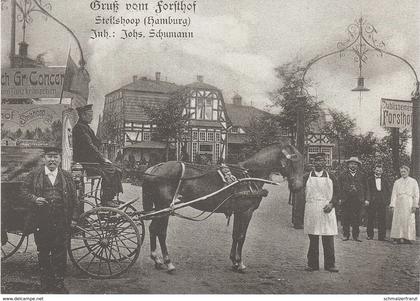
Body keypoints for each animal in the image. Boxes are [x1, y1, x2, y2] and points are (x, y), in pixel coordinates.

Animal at [143, 141, 304, 272]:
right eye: (294, 159)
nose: (298, 187)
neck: (249, 176)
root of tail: (155, 168)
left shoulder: (238, 212)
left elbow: (235, 235)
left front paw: (234, 261)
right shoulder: (246, 212)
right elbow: (242, 236)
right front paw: (240, 263)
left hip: (159, 208)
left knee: (152, 229)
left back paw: (157, 259)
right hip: (164, 207)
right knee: (161, 232)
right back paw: (168, 262)